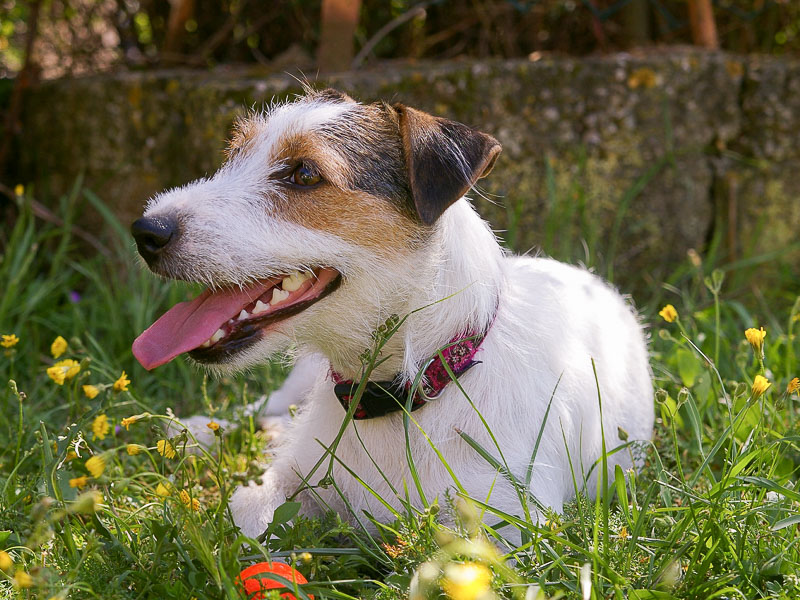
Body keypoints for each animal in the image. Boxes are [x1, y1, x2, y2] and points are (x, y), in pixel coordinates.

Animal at [133, 88, 656, 540]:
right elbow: (250, 520)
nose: (146, 231)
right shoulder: (285, 482)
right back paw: (199, 428)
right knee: (265, 407)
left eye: (304, 174)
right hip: (296, 382)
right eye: (233, 155)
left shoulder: (510, 525)